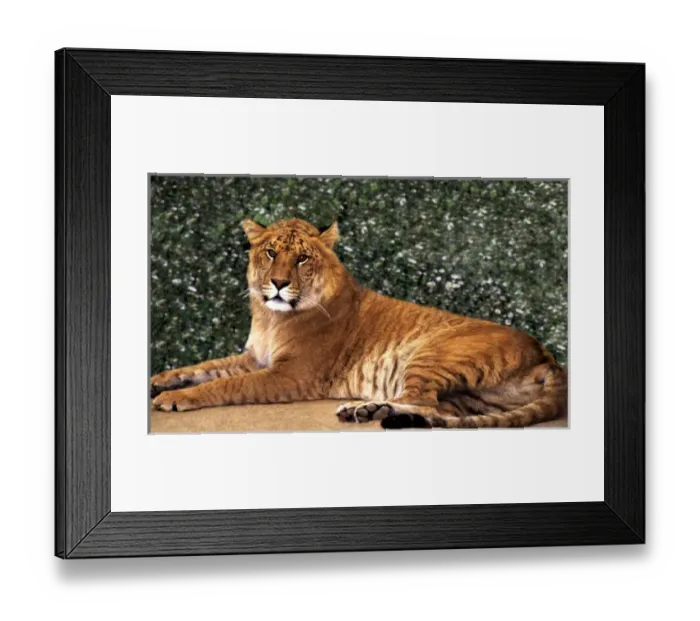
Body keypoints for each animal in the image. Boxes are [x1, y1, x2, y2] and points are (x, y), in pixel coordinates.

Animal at [151, 217, 567, 429]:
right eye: (270, 253)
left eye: (302, 258)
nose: (279, 283)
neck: (270, 316)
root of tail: (546, 354)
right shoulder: (254, 358)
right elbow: (207, 367)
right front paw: (163, 379)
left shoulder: (291, 376)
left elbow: (225, 385)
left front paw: (174, 399)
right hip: (470, 397)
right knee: (440, 409)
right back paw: (373, 411)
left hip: (435, 352)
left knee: (422, 398)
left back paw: (363, 409)